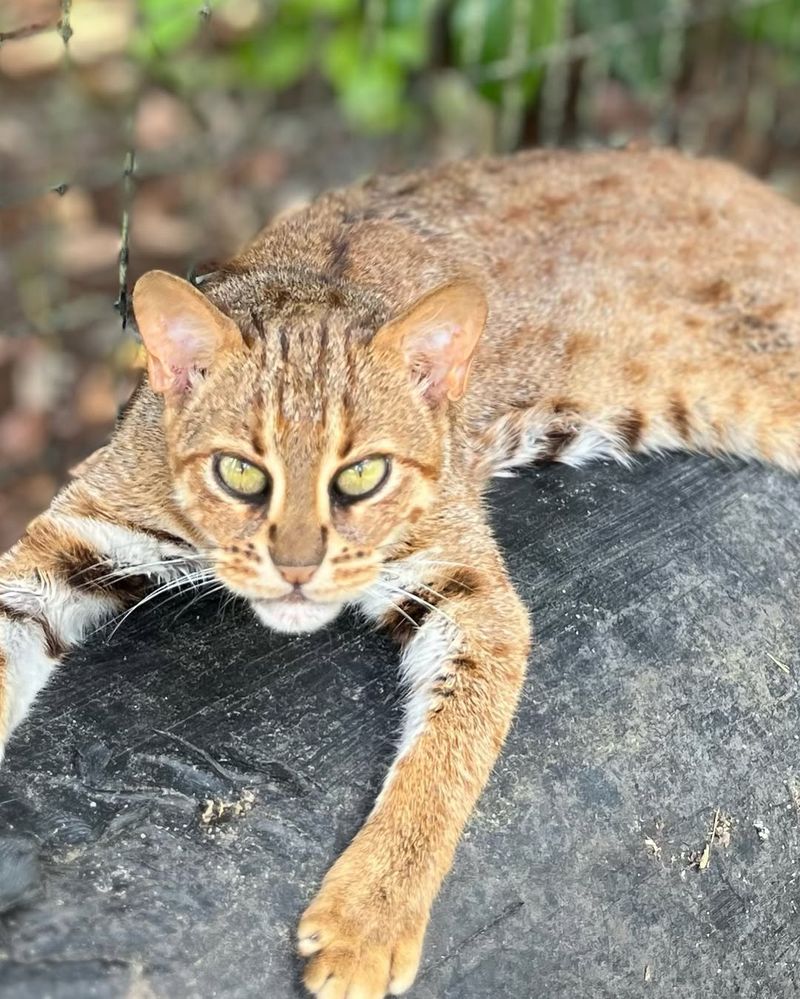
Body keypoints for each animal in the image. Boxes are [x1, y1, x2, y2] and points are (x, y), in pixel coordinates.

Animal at [1, 145, 800, 996]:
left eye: (362, 476)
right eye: (241, 474)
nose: (296, 570)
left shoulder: (471, 589)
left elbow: (446, 758)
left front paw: (369, 921)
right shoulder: (76, 526)